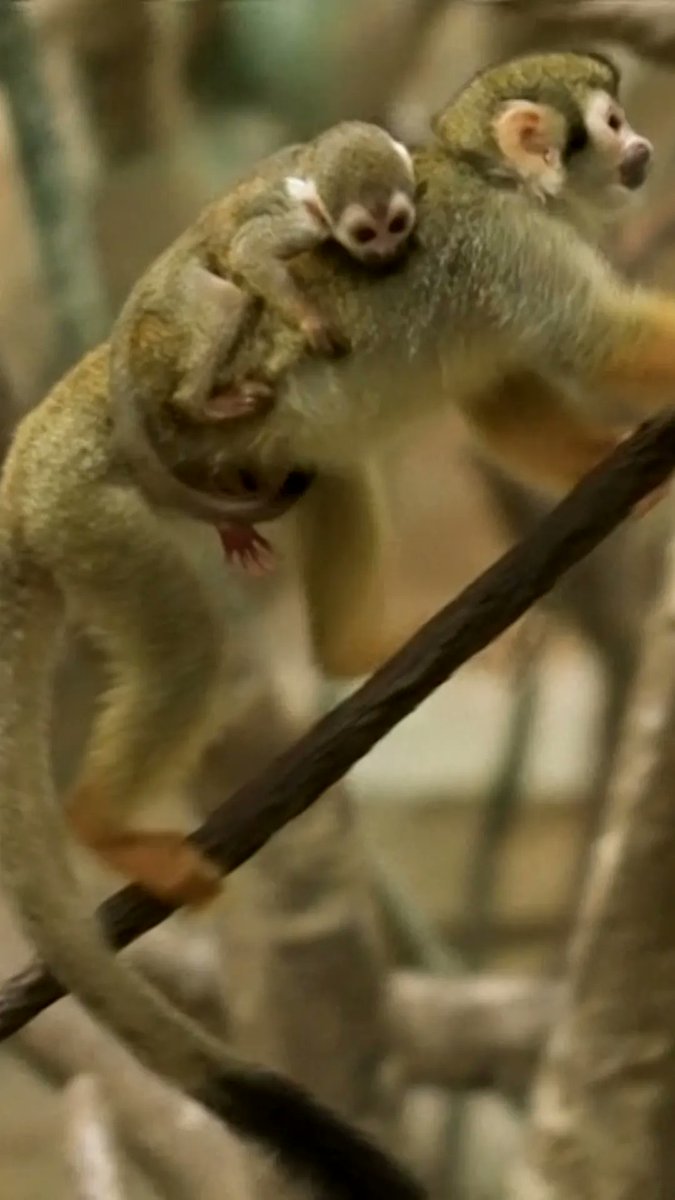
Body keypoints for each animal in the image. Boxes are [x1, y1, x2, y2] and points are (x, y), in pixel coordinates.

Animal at [0, 51, 669, 1195]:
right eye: (613, 119)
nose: (642, 150)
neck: (489, 179)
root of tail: (22, 476)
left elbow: (500, 392)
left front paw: (604, 475)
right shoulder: (515, 244)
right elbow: (598, 343)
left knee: (329, 469)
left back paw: (359, 650)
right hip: (93, 515)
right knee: (188, 646)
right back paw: (105, 823)